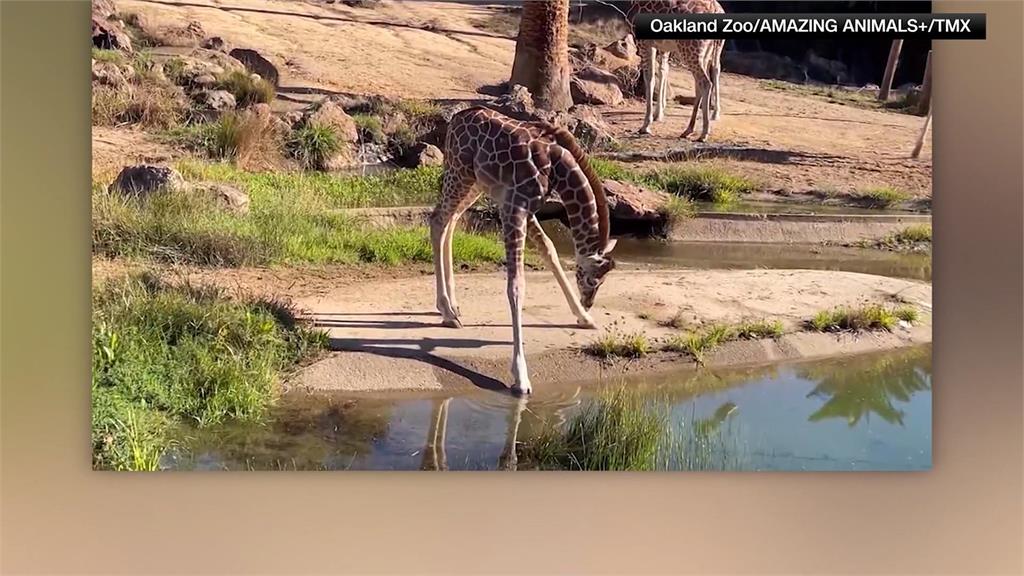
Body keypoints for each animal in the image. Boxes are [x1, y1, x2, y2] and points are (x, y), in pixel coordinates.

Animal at [430, 106, 614, 393]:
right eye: (592, 280)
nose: (589, 302)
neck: (557, 168)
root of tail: (457, 118)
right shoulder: (514, 207)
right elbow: (516, 284)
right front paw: (520, 375)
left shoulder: (527, 209)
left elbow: (550, 250)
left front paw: (584, 317)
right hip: (460, 174)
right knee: (438, 220)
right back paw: (447, 312)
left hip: (475, 183)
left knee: (452, 220)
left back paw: (453, 306)